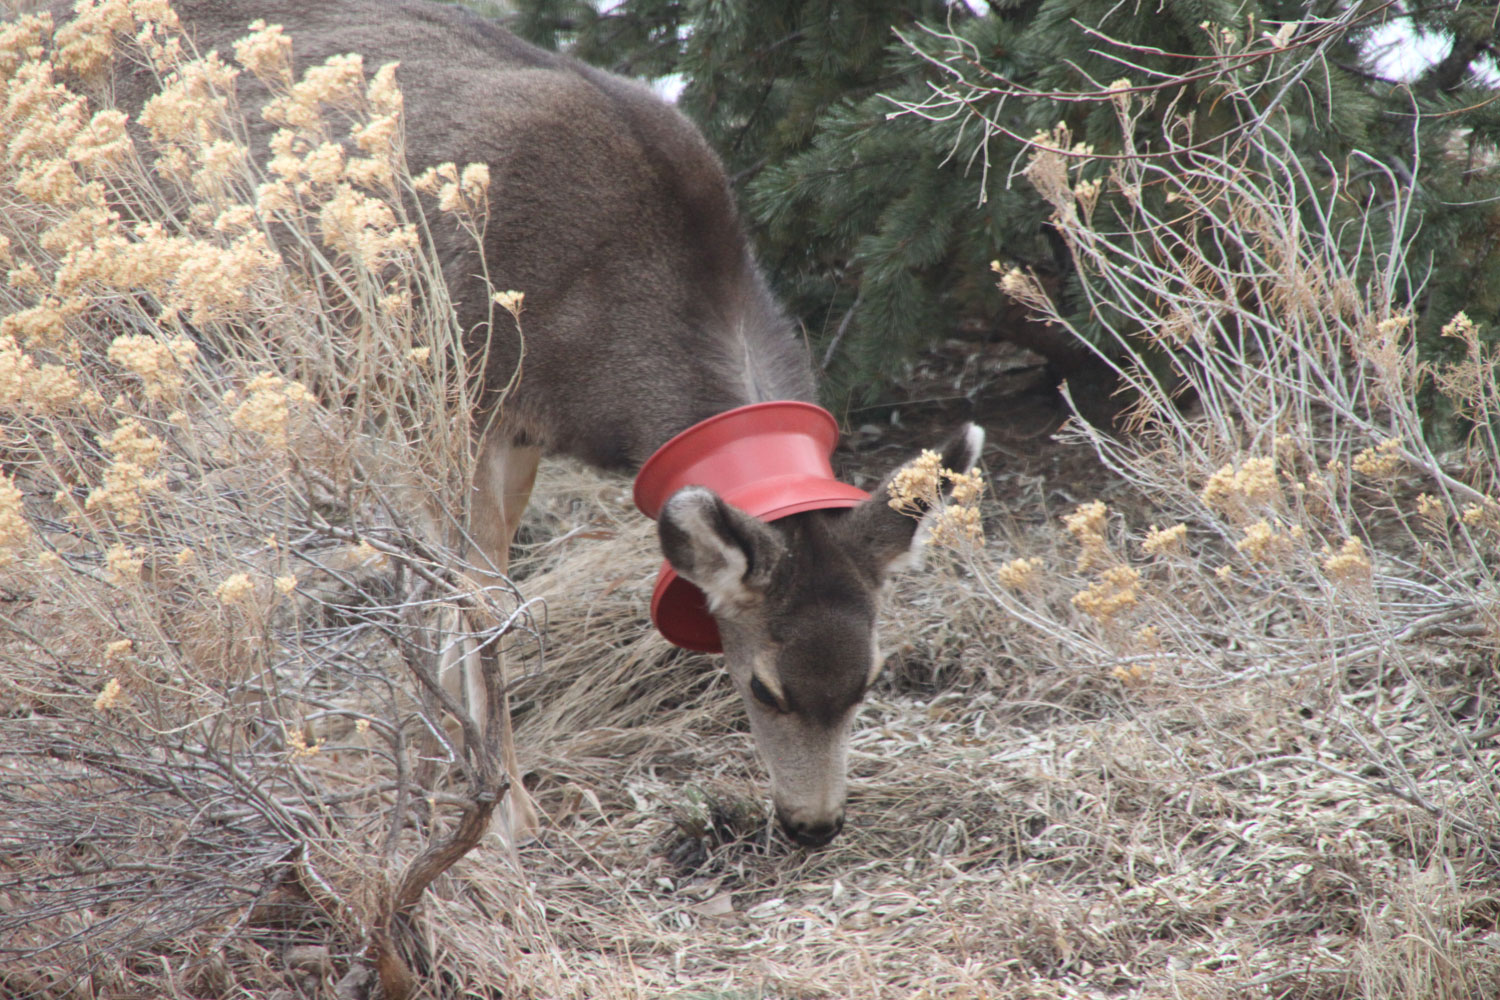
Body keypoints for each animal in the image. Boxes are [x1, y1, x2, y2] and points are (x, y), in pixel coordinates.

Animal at [82, 0, 983, 848]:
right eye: (764, 685)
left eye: (870, 679)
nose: (813, 825)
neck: (608, 340)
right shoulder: (449, 395)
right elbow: (474, 595)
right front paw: (502, 807)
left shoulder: (520, 434)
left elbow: (475, 583)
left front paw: (446, 761)